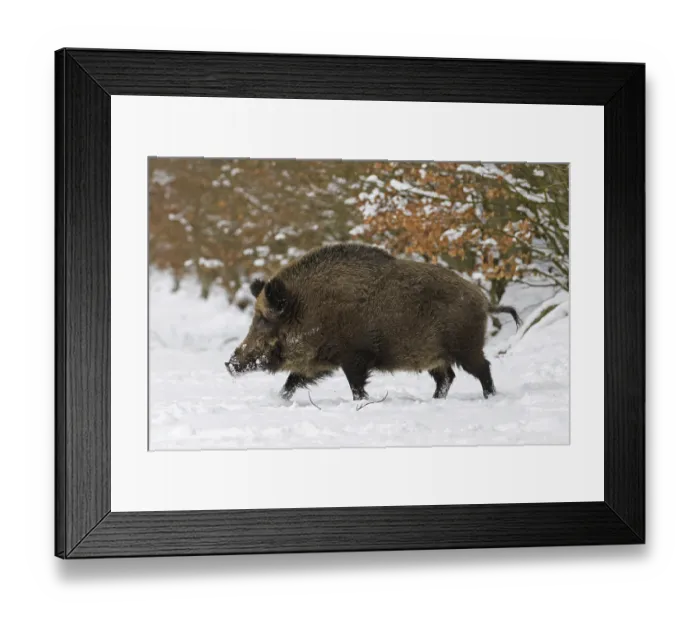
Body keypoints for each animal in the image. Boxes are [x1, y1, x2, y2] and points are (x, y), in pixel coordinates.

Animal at [225, 243, 521, 401]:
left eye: (264, 319)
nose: (229, 363)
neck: (311, 309)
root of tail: (484, 301)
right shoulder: (320, 363)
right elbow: (292, 381)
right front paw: (279, 400)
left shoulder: (354, 357)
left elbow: (356, 386)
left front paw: (362, 403)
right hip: (436, 357)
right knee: (447, 377)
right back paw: (435, 401)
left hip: (466, 347)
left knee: (483, 369)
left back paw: (490, 397)